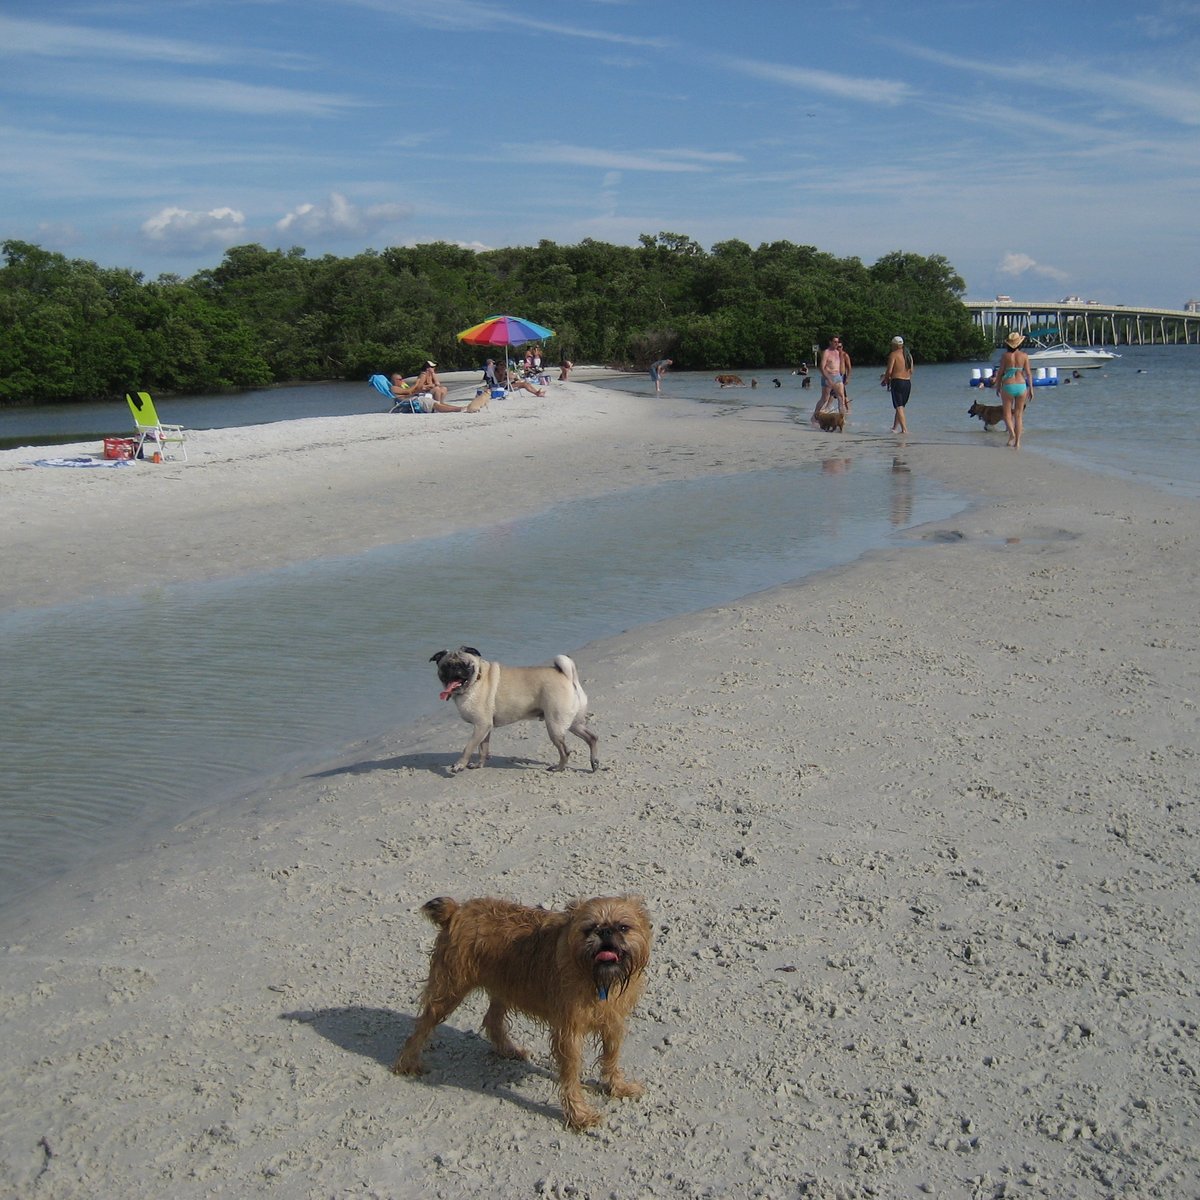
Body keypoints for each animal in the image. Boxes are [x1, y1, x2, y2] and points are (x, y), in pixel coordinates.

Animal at [396, 897, 652, 1128]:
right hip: (449, 990)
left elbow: (611, 1057)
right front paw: (579, 1115)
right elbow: (570, 1076)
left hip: (504, 986)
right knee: (422, 1025)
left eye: (623, 927)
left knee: (492, 1019)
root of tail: (457, 910)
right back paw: (408, 1062)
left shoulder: (613, 1023)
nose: (606, 932)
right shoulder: (569, 1034)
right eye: (589, 929)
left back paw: (507, 1049)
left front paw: (617, 1086)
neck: (595, 976)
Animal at [432, 648, 600, 768]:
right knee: (591, 737)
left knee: (565, 751)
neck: (476, 680)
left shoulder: (481, 725)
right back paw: (594, 762)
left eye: (465, 665)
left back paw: (559, 768)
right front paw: (479, 765)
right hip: (573, 723)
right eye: (446, 666)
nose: (455, 669)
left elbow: (469, 747)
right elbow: (483, 749)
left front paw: (460, 764)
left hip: (555, 725)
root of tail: (569, 677)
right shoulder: (484, 728)